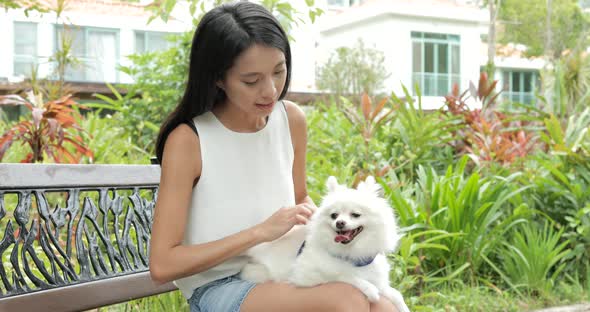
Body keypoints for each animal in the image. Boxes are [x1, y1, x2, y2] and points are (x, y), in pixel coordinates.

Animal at [243, 177, 410, 310]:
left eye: (355, 215)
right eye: (334, 215)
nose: (340, 223)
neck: (352, 255)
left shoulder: (379, 280)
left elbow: (396, 294)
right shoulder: (305, 276)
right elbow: (344, 275)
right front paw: (369, 288)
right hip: (258, 271)